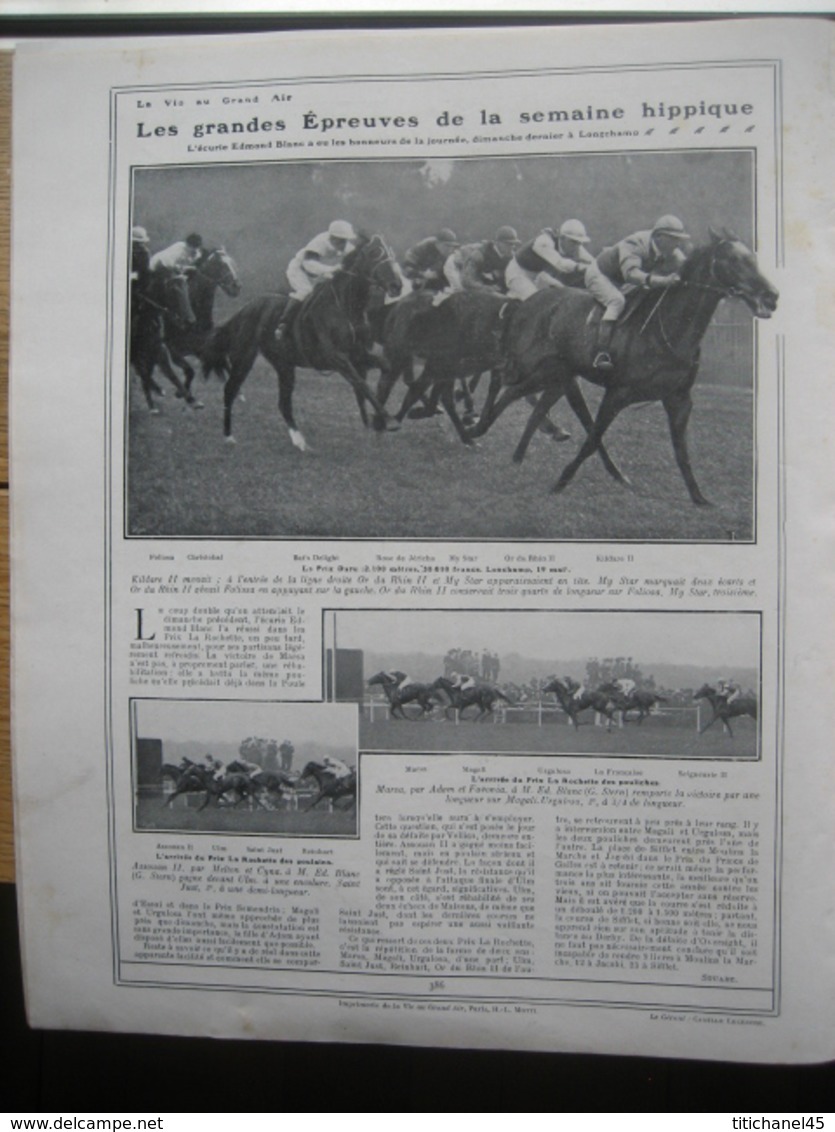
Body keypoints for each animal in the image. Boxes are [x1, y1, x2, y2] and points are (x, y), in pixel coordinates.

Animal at [204, 234, 407, 446]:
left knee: (283, 403)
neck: (345, 308)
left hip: (283, 364)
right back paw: (229, 436)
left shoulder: (358, 355)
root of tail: (244, 309)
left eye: (390, 253)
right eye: (375, 253)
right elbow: (360, 384)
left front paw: (374, 422)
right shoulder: (336, 358)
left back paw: (300, 442)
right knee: (230, 390)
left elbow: (379, 373)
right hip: (244, 358)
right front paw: (388, 420)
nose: (397, 285)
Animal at [466, 229, 778, 504]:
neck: (668, 331)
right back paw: (475, 428)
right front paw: (561, 482)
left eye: (752, 258)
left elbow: (682, 452)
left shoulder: (679, 400)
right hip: (529, 364)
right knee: (504, 384)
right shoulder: (617, 393)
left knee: (531, 403)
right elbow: (592, 438)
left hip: (556, 374)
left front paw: (699, 497)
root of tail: (527, 302)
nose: (771, 296)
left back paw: (514, 453)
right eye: (733, 260)